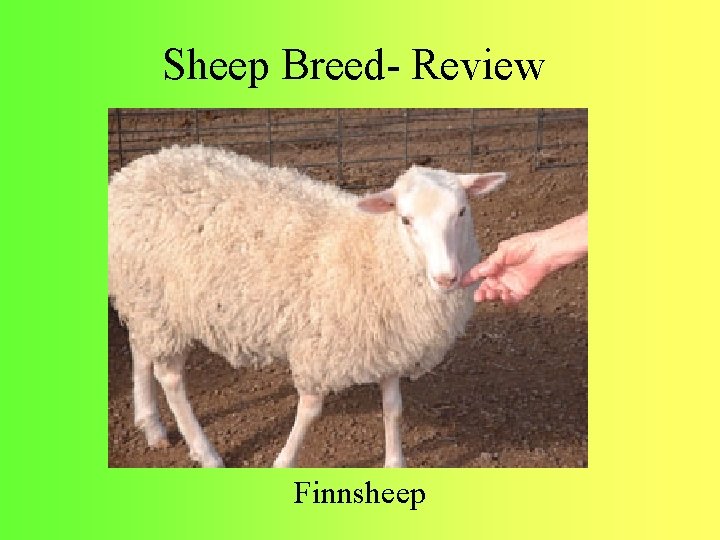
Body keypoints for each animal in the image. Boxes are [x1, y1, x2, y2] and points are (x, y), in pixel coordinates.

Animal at [108, 145, 506, 467]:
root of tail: (131, 173)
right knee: (171, 379)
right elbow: (311, 411)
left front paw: (395, 463)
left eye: (462, 212)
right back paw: (206, 452)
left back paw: (151, 424)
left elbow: (393, 409)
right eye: (405, 219)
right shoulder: (319, 349)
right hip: (161, 308)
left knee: (140, 350)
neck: (374, 252)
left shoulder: (389, 344)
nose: (446, 277)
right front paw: (284, 461)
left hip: (143, 298)